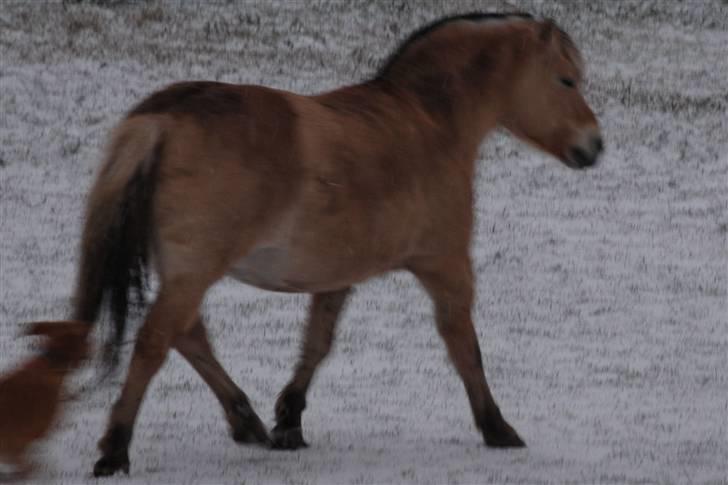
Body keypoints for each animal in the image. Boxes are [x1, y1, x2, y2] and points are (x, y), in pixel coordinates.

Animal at [71, 12, 604, 476]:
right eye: (566, 81)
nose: (594, 146)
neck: (426, 123)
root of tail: (162, 119)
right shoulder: (446, 265)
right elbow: (463, 345)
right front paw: (496, 427)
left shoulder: (336, 273)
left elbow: (317, 342)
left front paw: (289, 420)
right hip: (194, 271)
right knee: (155, 342)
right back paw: (115, 449)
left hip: (185, 273)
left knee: (188, 335)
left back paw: (247, 422)